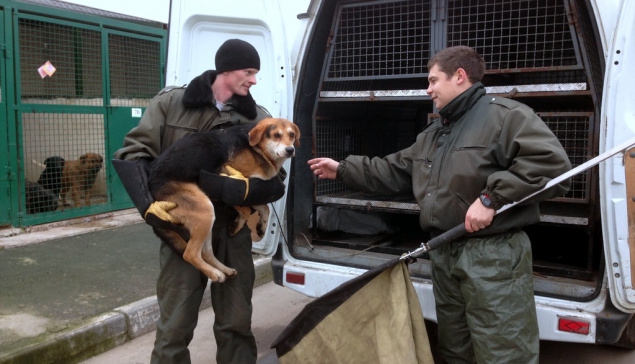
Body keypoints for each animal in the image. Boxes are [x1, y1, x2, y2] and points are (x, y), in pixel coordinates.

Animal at [149, 118, 300, 282]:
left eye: (291, 135)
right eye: (276, 135)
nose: (290, 150)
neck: (257, 148)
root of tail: (152, 188)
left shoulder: (252, 189)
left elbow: (263, 207)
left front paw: (261, 226)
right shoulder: (227, 179)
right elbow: (244, 208)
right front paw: (238, 224)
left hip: (206, 220)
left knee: (206, 253)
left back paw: (225, 270)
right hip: (206, 209)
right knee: (190, 254)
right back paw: (214, 273)